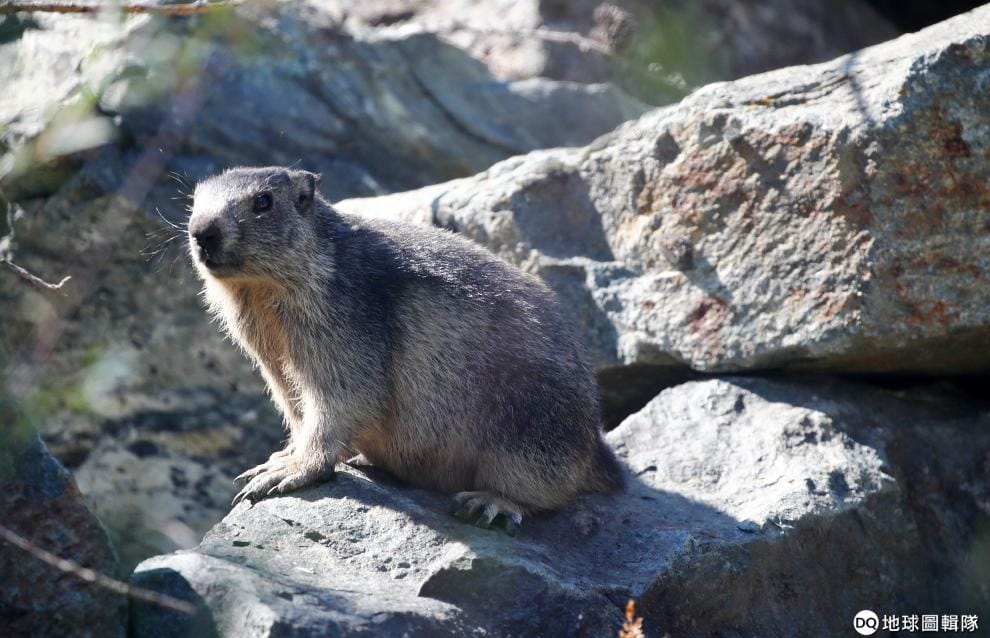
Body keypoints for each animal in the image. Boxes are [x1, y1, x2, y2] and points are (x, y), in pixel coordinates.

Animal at [187, 166, 623, 534]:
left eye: (263, 201)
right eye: (195, 197)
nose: (201, 231)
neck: (260, 292)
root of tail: (596, 446)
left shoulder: (346, 316)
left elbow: (345, 392)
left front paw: (287, 469)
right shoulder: (268, 348)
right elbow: (292, 400)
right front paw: (281, 455)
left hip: (533, 430)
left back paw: (491, 502)